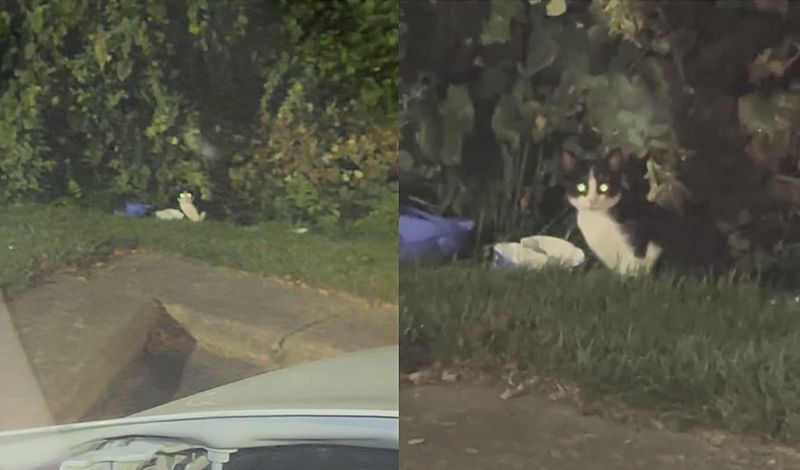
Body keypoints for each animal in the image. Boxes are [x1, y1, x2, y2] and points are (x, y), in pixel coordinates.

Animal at [564, 144, 724, 276]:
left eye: (604, 187)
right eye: (581, 187)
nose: (592, 200)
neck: (599, 217)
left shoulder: (641, 242)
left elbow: (632, 268)